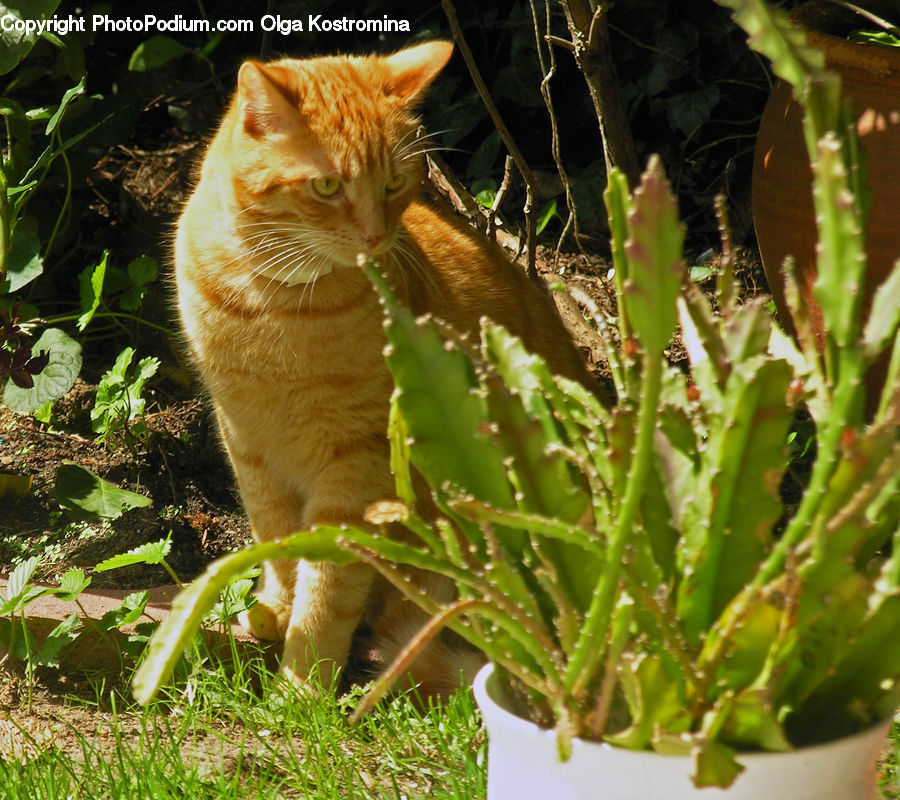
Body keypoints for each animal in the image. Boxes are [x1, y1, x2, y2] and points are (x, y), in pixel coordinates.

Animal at [175, 42, 596, 692]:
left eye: (395, 183)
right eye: (327, 186)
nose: (375, 237)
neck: (270, 300)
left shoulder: (359, 460)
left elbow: (329, 585)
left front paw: (302, 684)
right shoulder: (248, 444)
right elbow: (274, 535)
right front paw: (276, 606)